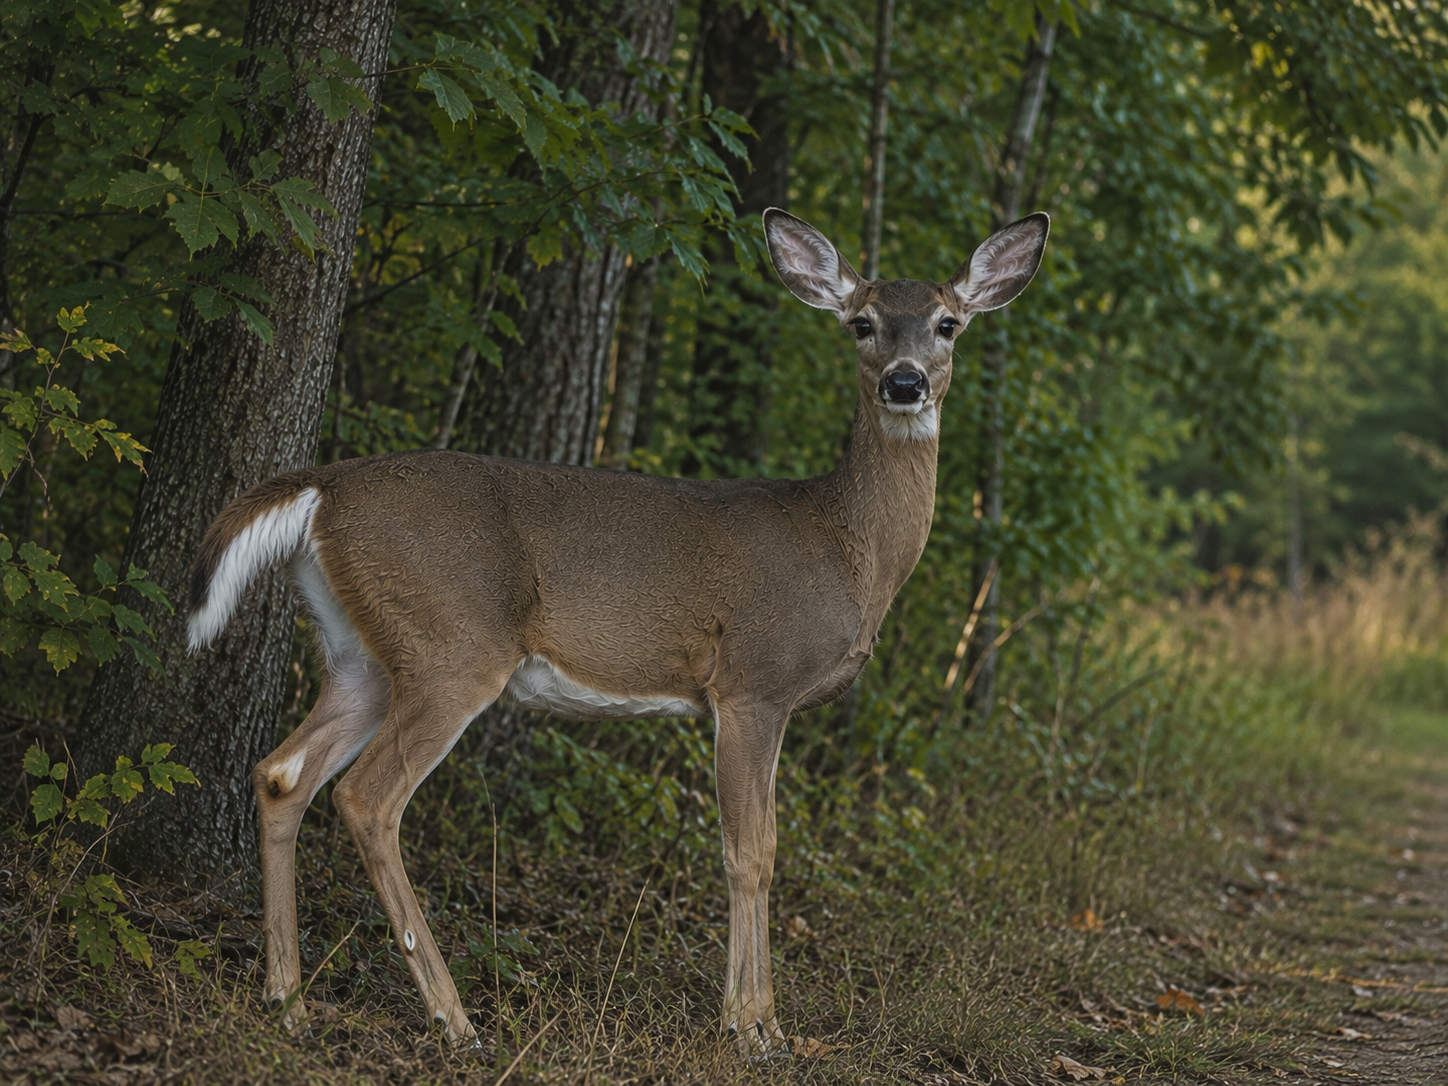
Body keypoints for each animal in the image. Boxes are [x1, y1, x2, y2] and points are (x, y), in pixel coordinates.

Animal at [186, 207, 1049, 1055]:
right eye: (862, 322)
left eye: (946, 322)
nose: (905, 382)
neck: (848, 547)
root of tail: (322, 489)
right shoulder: (752, 682)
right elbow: (750, 853)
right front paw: (749, 1029)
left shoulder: (766, 703)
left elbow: (767, 849)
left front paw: (768, 1024)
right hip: (452, 644)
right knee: (366, 798)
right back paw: (453, 1020)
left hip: (362, 653)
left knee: (282, 774)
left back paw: (288, 1003)